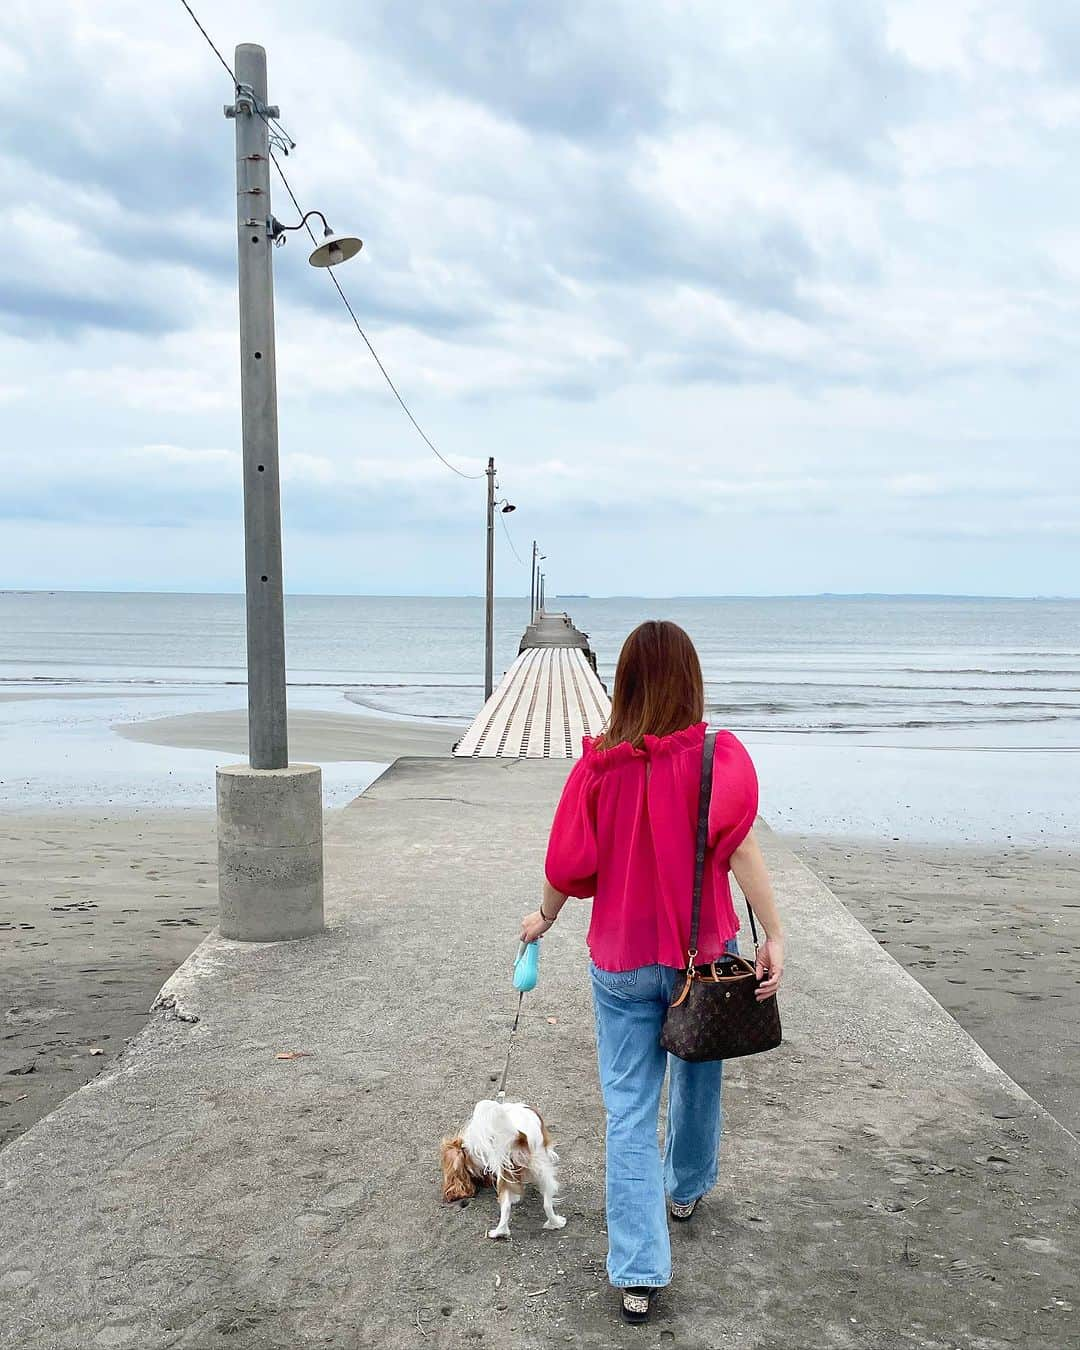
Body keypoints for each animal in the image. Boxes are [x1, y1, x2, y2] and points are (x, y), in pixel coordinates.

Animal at [440, 1101, 569, 1236]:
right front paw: (552, 1153)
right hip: (543, 1172)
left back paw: (499, 1232)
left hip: (504, 1174)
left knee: (506, 1206)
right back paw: (556, 1223)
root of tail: (519, 1136)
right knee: (547, 1204)